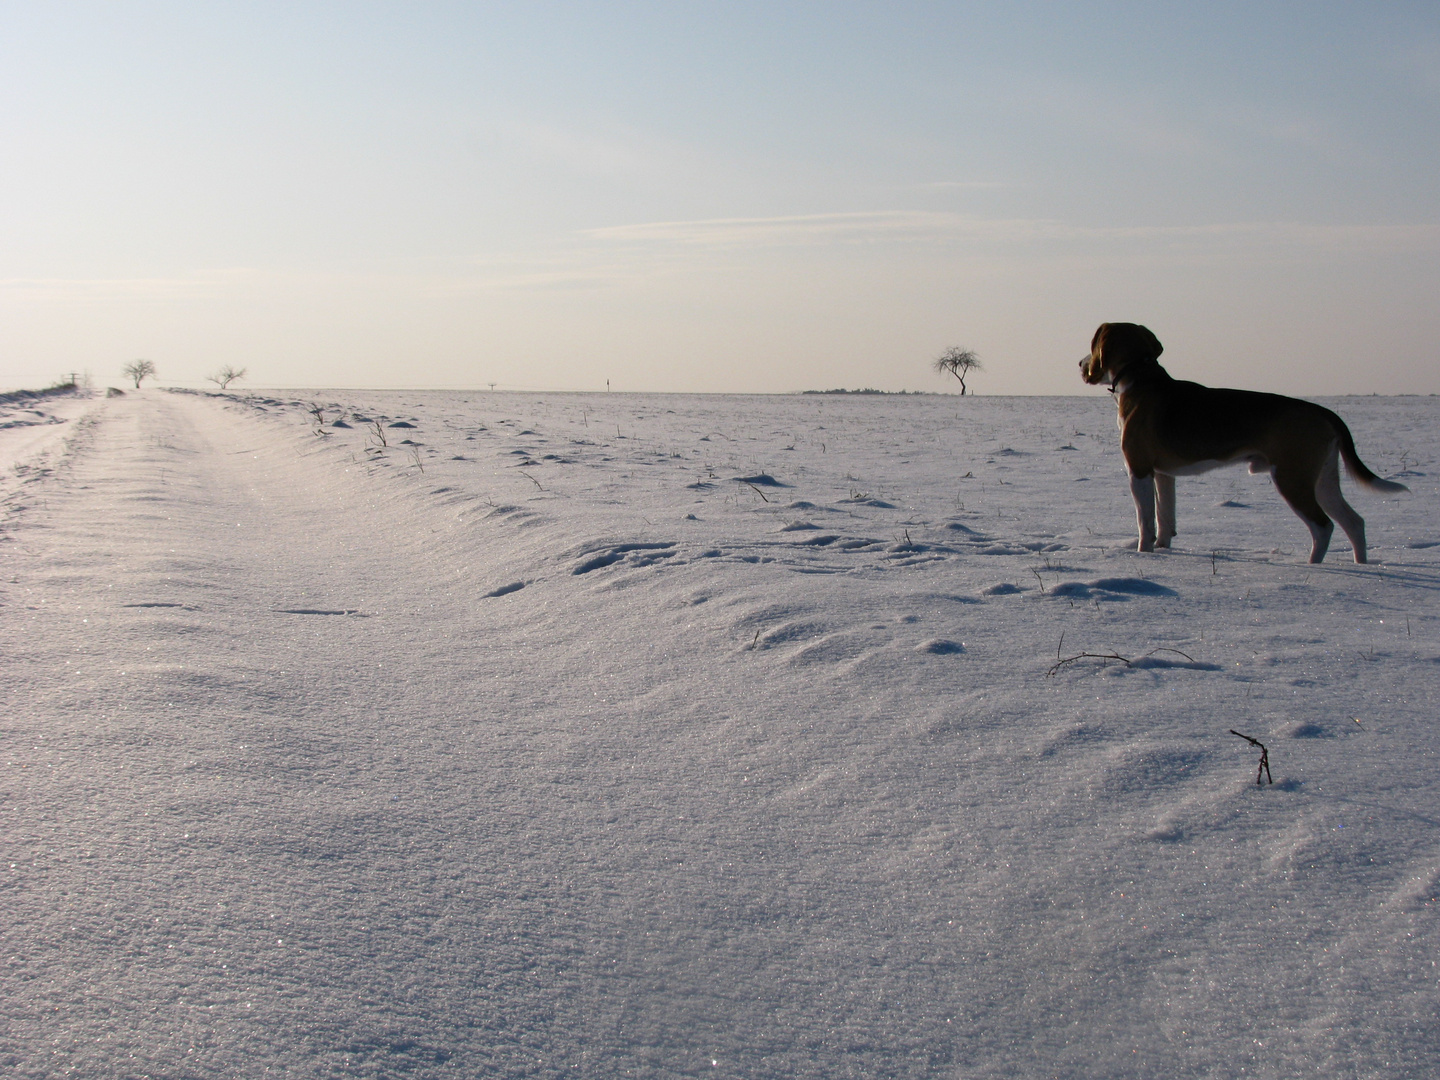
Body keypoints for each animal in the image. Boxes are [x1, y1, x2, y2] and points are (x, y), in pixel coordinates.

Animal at [1082, 324, 1405, 567]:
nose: (1080, 364)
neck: (1139, 376)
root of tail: (1323, 411)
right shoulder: (1164, 473)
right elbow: (1165, 516)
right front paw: (1163, 549)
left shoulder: (1139, 469)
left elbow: (1145, 520)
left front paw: (1143, 554)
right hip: (1323, 480)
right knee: (1354, 522)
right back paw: (1362, 564)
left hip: (1292, 479)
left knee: (1323, 526)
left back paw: (1312, 565)